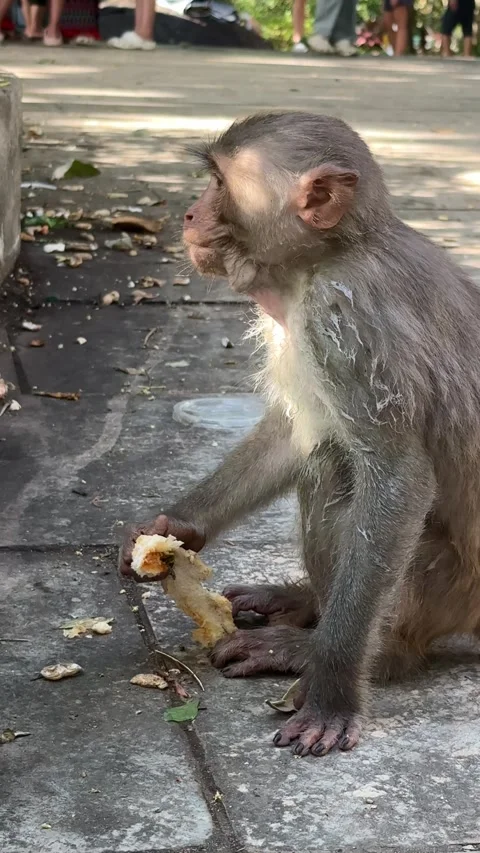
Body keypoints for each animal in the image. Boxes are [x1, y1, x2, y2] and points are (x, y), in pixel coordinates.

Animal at [120, 111, 480, 758]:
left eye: (218, 183)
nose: (187, 214)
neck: (330, 256)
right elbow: (294, 430)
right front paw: (174, 527)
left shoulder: (347, 322)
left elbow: (398, 480)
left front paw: (332, 688)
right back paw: (303, 603)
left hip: (449, 591)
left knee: (339, 471)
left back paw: (349, 651)